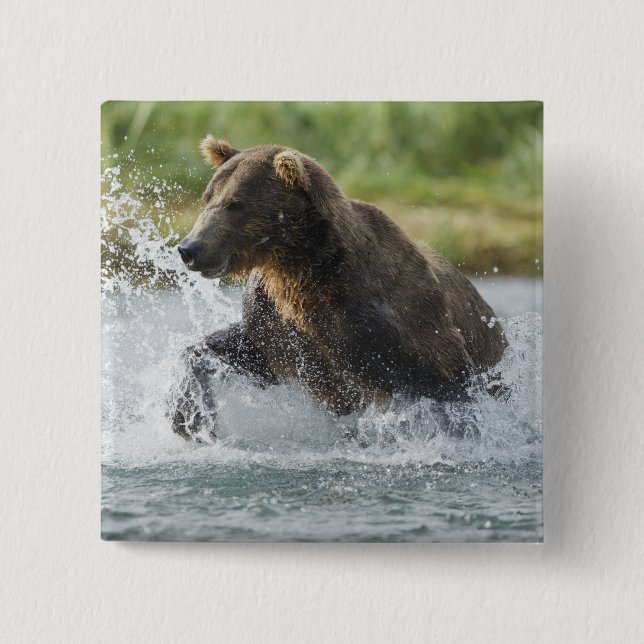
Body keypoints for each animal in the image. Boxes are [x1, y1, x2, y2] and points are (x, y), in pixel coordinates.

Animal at [170, 137, 507, 442]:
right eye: (207, 197)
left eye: (235, 204)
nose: (190, 248)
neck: (301, 269)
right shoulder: (278, 323)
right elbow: (239, 349)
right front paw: (190, 416)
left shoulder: (391, 323)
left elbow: (445, 383)